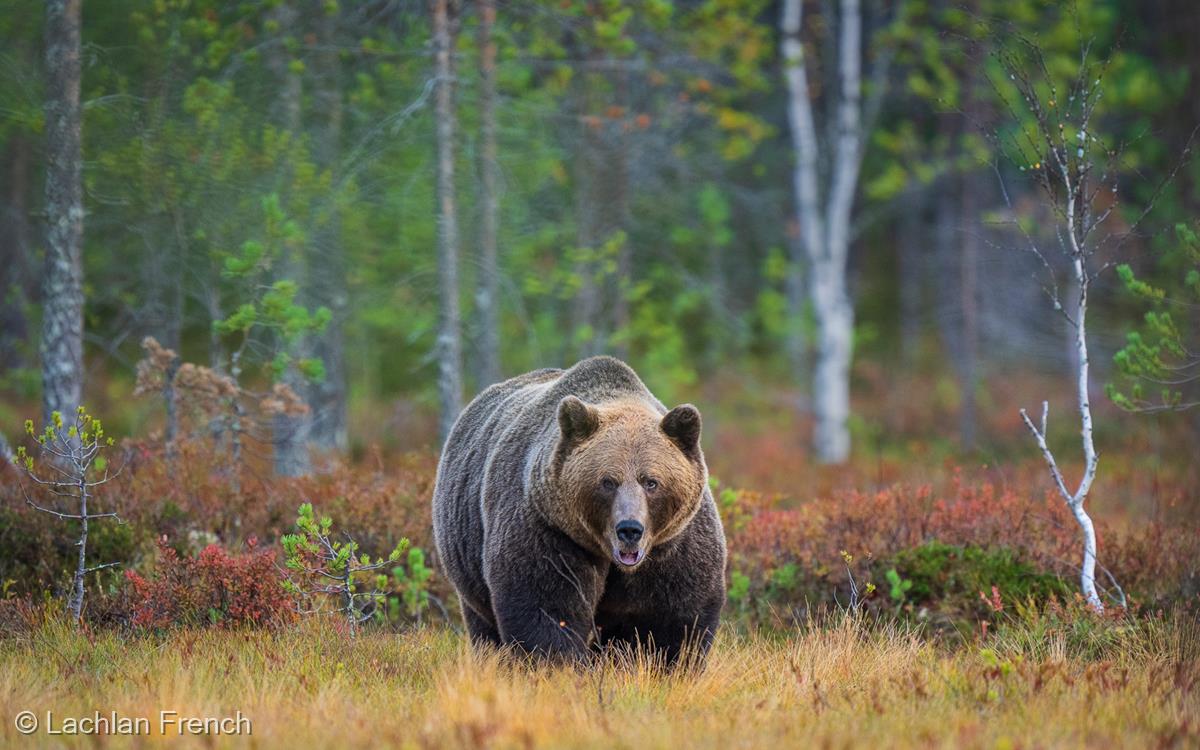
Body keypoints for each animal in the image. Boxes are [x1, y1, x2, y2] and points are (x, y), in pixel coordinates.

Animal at [432, 356, 726, 666]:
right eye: (608, 481)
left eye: (651, 482)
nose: (630, 529)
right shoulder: (551, 530)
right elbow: (547, 606)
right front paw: (558, 664)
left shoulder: (673, 543)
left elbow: (674, 617)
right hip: (468, 556)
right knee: (483, 625)